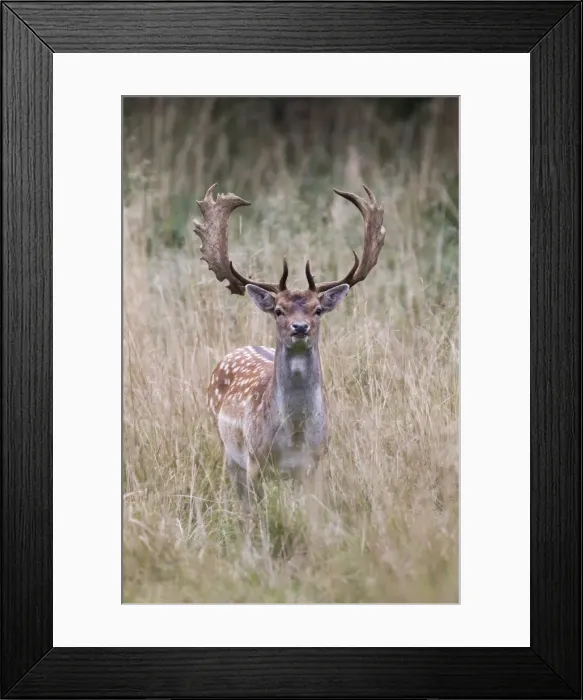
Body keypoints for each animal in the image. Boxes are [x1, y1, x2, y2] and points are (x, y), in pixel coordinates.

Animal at [193, 183, 385, 507]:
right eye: (279, 310)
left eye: (317, 310)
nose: (300, 327)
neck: (295, 435)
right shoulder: (255, 461)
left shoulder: (316, 463)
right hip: (226, 446)